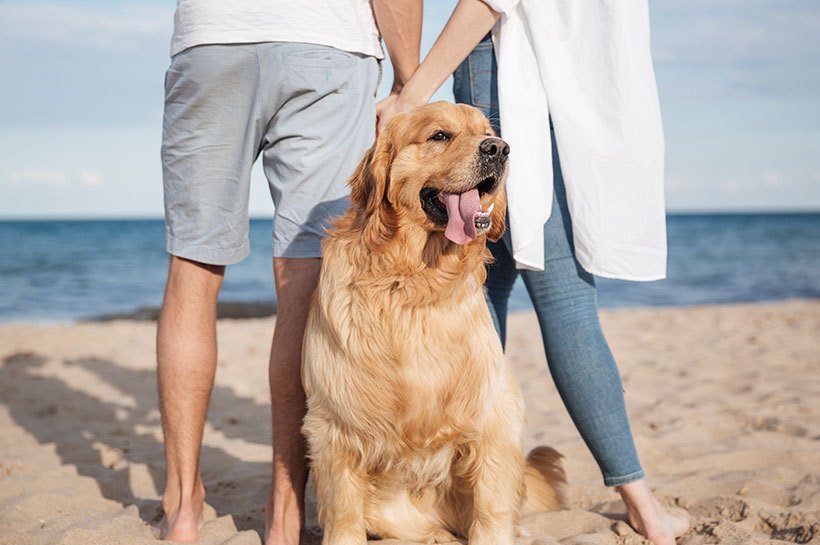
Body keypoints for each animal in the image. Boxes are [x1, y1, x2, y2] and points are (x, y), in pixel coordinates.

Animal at [302, 102, 564, 544]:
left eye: (488, 132)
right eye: (440, 135)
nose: (500, 148)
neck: (413, 284)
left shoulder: (494, 417)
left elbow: (491, 512)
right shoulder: (334, 427)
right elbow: (342, 517)